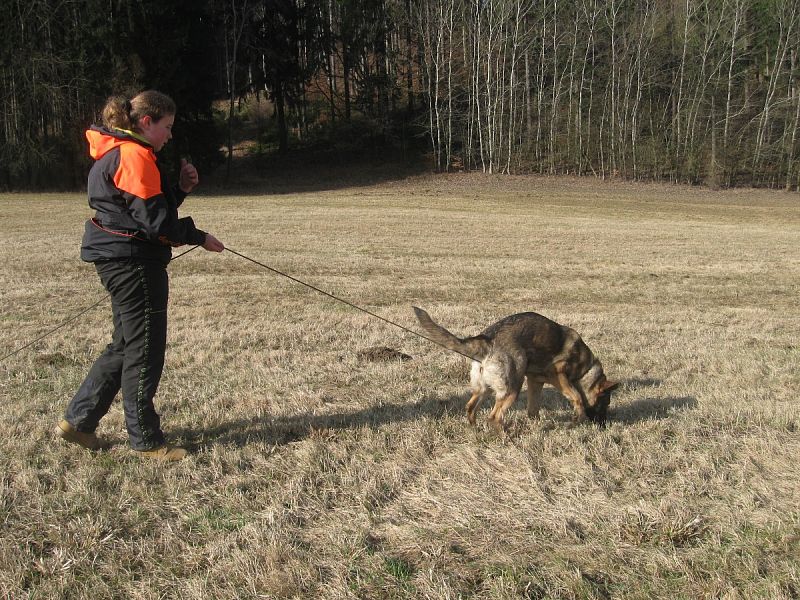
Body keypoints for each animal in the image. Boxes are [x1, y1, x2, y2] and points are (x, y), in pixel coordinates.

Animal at [412, 308, 620, 428]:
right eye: (605, 403)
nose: (603, 426)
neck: (586, 368)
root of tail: (489, 340)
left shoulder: (535, 382)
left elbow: (533, 409)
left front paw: (536, 427)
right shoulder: (558, 374)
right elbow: (576, 397)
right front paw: (578, 418)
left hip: (484, 389)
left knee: (471, 407)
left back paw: (475, 430)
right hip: (512, 389)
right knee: (494, 417)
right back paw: (505, 438)